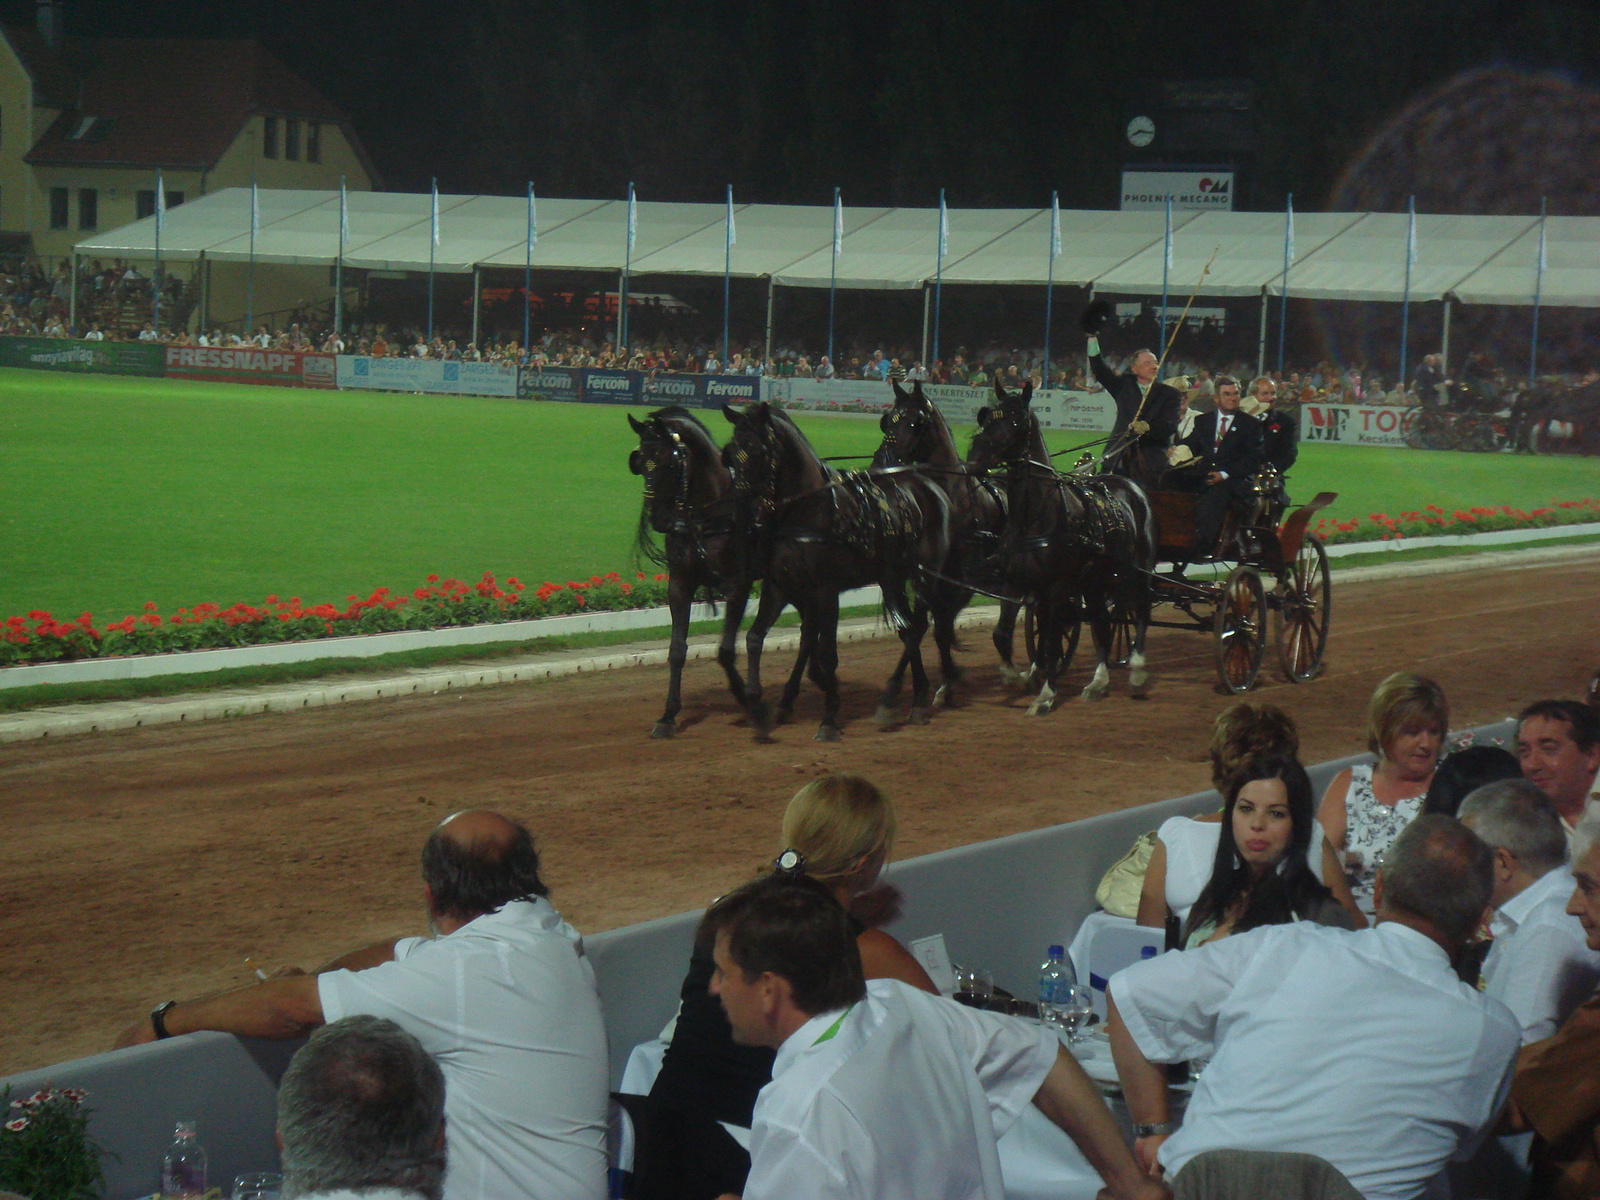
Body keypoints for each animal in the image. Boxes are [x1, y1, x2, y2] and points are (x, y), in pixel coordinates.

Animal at [620, 409, 784, 739]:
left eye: (669, 462)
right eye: (640, 462)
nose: (660, 519)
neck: (709, 514)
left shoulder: (738, 586)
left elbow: (725, 650)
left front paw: (747, 699)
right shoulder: (680, 585)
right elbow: (677, 649)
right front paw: (668, 715)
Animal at [723, 404, 947, 742]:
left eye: (759, 450)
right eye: (731, 451)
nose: (741, 510)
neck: (809, 510)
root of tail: (929, 486)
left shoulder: (825, 590)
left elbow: (827, 652)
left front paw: (828, 718)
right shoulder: (780, 586)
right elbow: (754, 638)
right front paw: (758, 708)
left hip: (925, 573)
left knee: (918, 626)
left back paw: (900, 697)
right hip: (892, 577)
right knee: (908, 629)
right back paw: (917, 696)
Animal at [876, 382, 1024, 704]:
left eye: (916, 422)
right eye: (888, 419)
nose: (882, 462)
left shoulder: (956, 580)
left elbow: (935, 627)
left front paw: (944, 681)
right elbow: (918, 628)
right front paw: (944, 679)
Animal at [960, 382, 1152, 713]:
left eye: (1015, 422)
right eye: (986, 417)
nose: (973, 460)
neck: (1037, 514)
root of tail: (1131, 486)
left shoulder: (1058, 587)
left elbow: (1050, 640)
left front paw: (1046, 694)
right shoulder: (1016, 582)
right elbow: (1002, 634)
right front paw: (1016, 676)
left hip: (1136, 568)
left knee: (1139, 608)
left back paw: (1138, 670)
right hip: (1095, 580)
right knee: (1102, 621)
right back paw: (1098, 681)